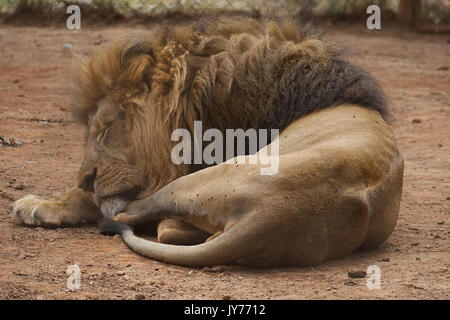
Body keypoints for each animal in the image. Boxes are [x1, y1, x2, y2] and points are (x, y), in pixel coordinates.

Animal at [7, 16, 404, 268]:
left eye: (105, 129)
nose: (85, 178)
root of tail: (270, 217)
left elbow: (99, 202)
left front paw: (40, 203)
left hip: (192, 183)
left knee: (135, 218)